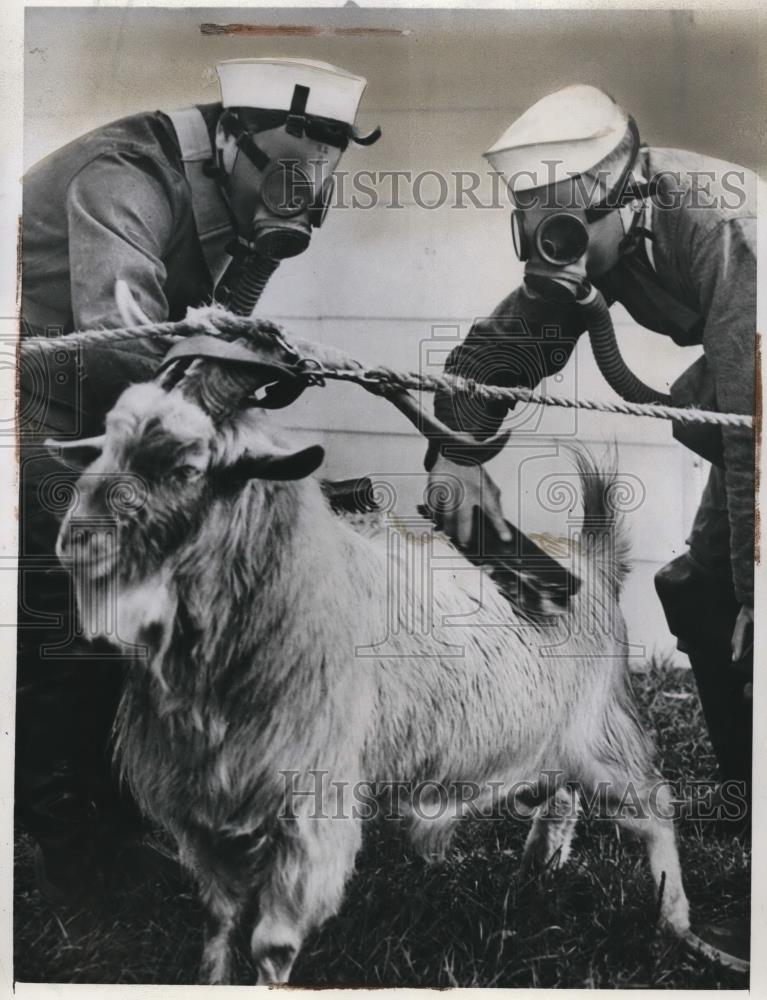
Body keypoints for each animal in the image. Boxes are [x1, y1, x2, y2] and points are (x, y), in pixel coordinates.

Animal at [52, 334, 688, 984]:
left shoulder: (310, 806)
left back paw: (676, 924)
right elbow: (219, 925)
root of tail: (594, 559)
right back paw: (542, 862)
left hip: (604, 735)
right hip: (552, 741)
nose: (76, 539)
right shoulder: (207, 808)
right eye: (106, 449)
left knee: (656, 807)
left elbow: (272, 944)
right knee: (562, 794)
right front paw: (213, 979)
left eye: (185, 466)